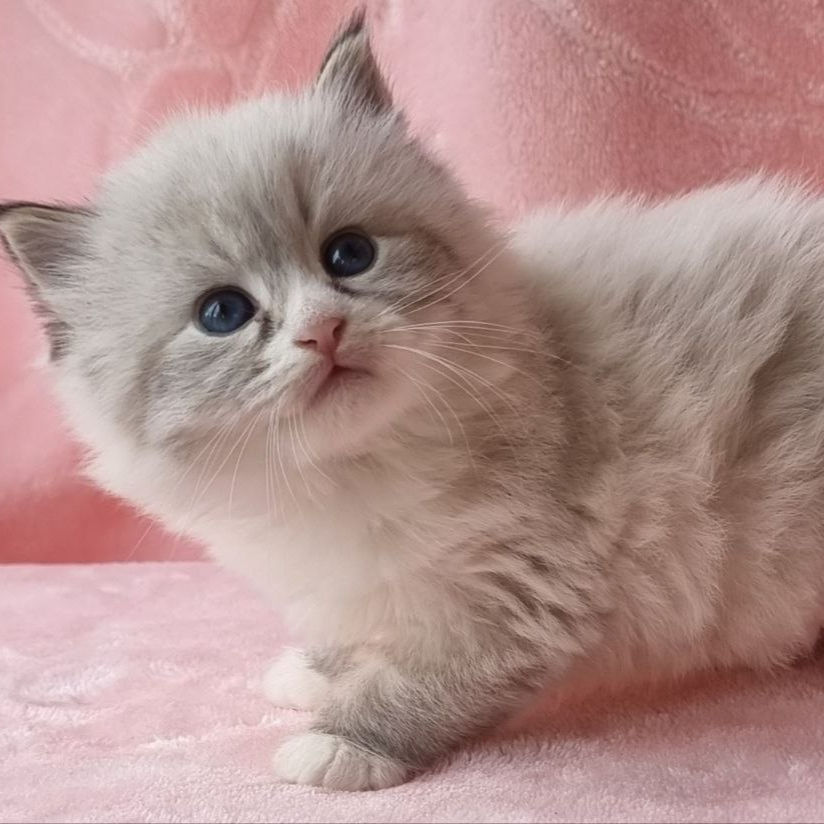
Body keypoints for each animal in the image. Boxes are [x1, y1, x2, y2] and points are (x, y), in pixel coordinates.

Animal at [3, 14, 824, 791]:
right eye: (223, 313)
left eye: (349, 254)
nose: (322, 330)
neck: (346, 475)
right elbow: (357, 638)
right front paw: (315, 671)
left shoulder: (511, 593)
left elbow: (412, 688)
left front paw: (339, 743)